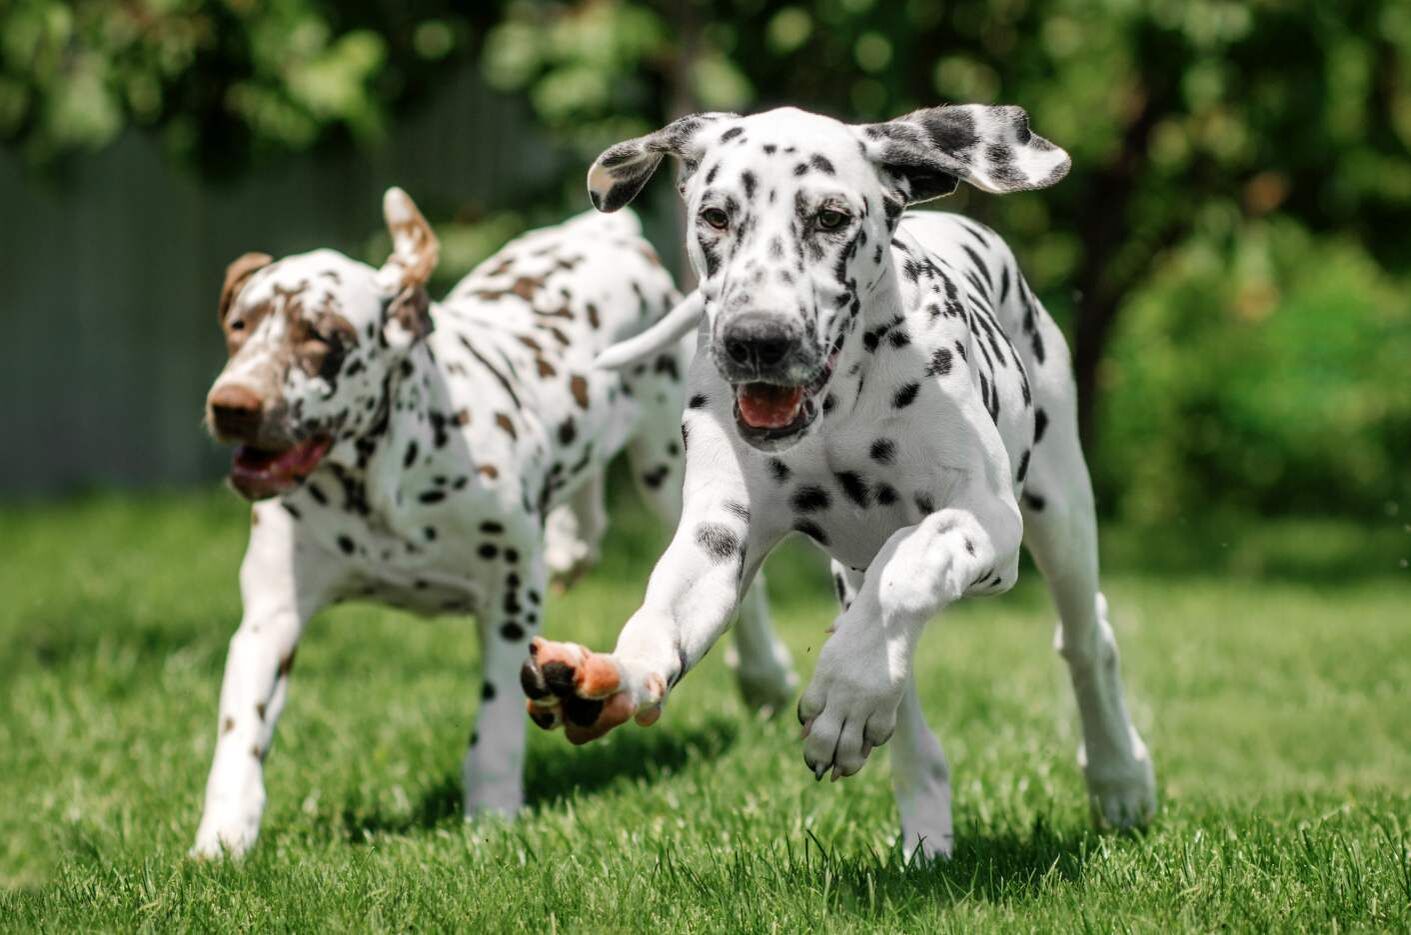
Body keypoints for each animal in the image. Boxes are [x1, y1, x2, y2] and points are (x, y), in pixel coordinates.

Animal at [193, 186, 801, 857]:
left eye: (324, 336)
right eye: (238, 325)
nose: (233, 405)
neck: (381, 486)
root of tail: (603, 233)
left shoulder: (510, 602)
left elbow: (499, 724)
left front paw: (492, 814)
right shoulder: (270, 617)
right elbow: (241, 730)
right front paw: (223, 835)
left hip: (667, 467)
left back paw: (765, 678)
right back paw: (571, 544)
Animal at [519, 105, 1157, 857]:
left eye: (830, 217)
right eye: (714, 215)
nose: (755, 339)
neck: (837, 407)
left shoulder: (989, 519)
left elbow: (909, 560)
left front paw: (850, 690)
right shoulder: (717, 537)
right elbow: (660, 616)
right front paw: (610, 678)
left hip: (1060, 513)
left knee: (1086, 641)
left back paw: (1119, 778)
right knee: (909, 716)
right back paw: (923, 828)